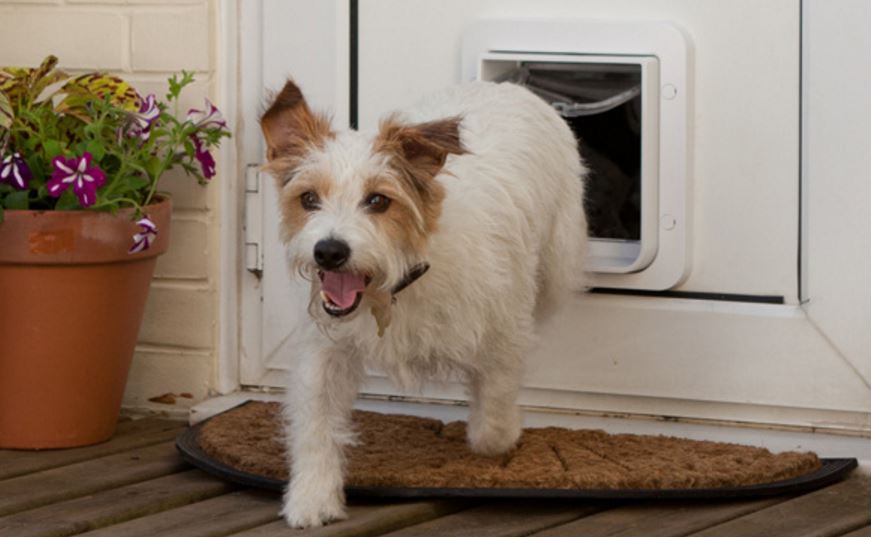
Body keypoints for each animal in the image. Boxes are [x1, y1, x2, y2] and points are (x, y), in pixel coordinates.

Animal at [258, 79, 584, 528]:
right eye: (308, 199)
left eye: (378, 201)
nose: (329, 252)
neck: (394, 285)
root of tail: (504, 84)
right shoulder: (325, 352)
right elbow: (315, 424)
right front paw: (312, 496)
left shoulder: (504, 334)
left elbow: (493, 416)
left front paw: (502, 435)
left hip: (558, 265)